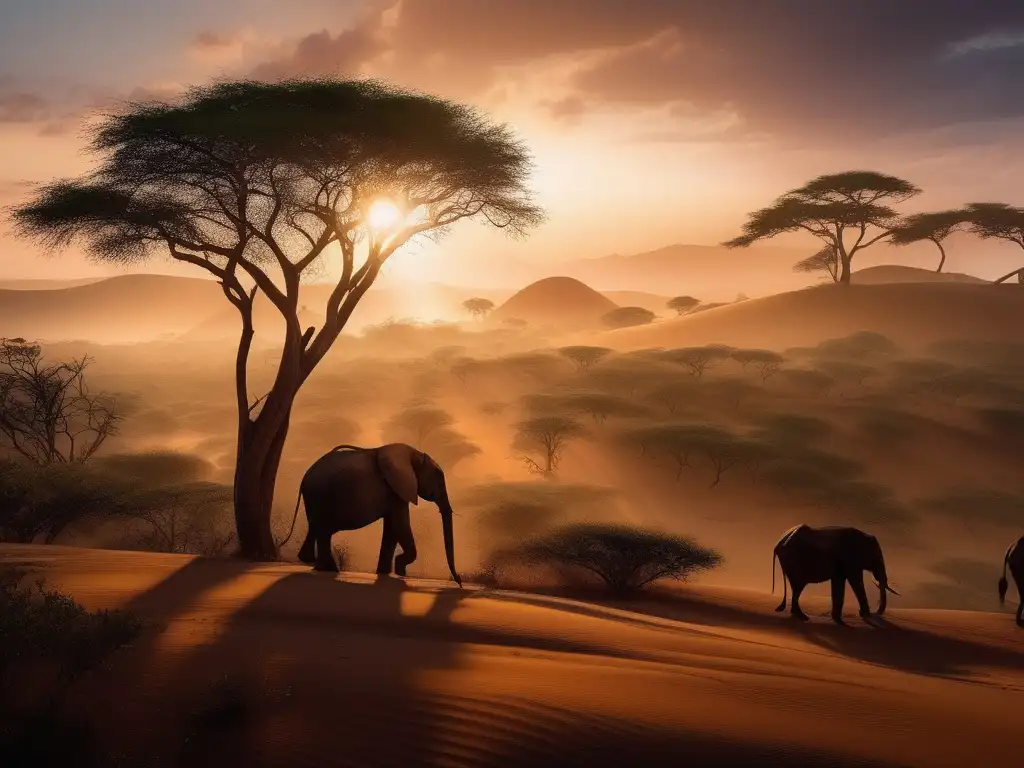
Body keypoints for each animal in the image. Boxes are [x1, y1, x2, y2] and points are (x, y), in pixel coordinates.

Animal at [282, 442, 462, 585]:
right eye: (438, 478)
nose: (459, 581)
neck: (414, 454)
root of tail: (305, 476)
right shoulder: (396, 488)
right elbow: (400, 525)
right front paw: (399, 570)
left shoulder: (394, 490)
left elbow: (392, 528)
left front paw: (384, 573)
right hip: (321, 496)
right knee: (323, 532)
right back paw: (329, 570)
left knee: (316, 528)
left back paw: (315, 564)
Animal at [770, 524, 901, 626]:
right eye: (878, 559)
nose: (876, 612)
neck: (864, 536)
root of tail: (778, 544)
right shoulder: (850, 559)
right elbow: (856, 581)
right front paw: (864, 615)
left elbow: (838, 582)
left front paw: (838, 619)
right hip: (794, 562)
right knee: (798, 586)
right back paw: (803, 617)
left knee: (796, 588)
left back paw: (801, 616)